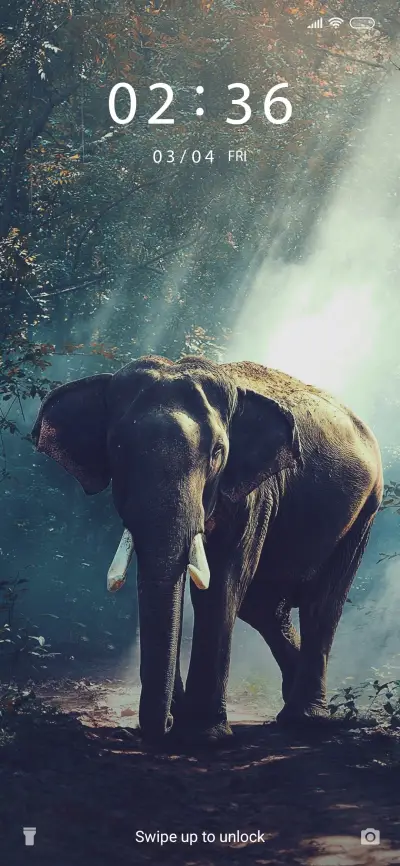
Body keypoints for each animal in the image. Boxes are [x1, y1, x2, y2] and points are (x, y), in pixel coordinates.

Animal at [31, 354, 383, 743]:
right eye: (117, 449)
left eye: (217, 453)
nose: (166, 724)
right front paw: (184, 720)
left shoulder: (254, 493)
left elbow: (222, 585)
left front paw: (203, 735)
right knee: (263, 607)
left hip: (365, 510)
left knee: (322, 603)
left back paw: (307, 719)